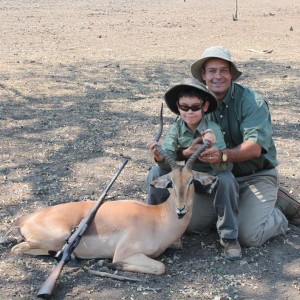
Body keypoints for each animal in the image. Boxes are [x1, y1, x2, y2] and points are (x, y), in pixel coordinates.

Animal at [0, 112, 217, 274]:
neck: (157, 219)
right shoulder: (124, 252)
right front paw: (108, 264)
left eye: (191, 181)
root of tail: (24, 218)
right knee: (18, 248)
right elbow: (159, 266)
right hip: (57, 236)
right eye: (171, 182)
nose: (181, 210)